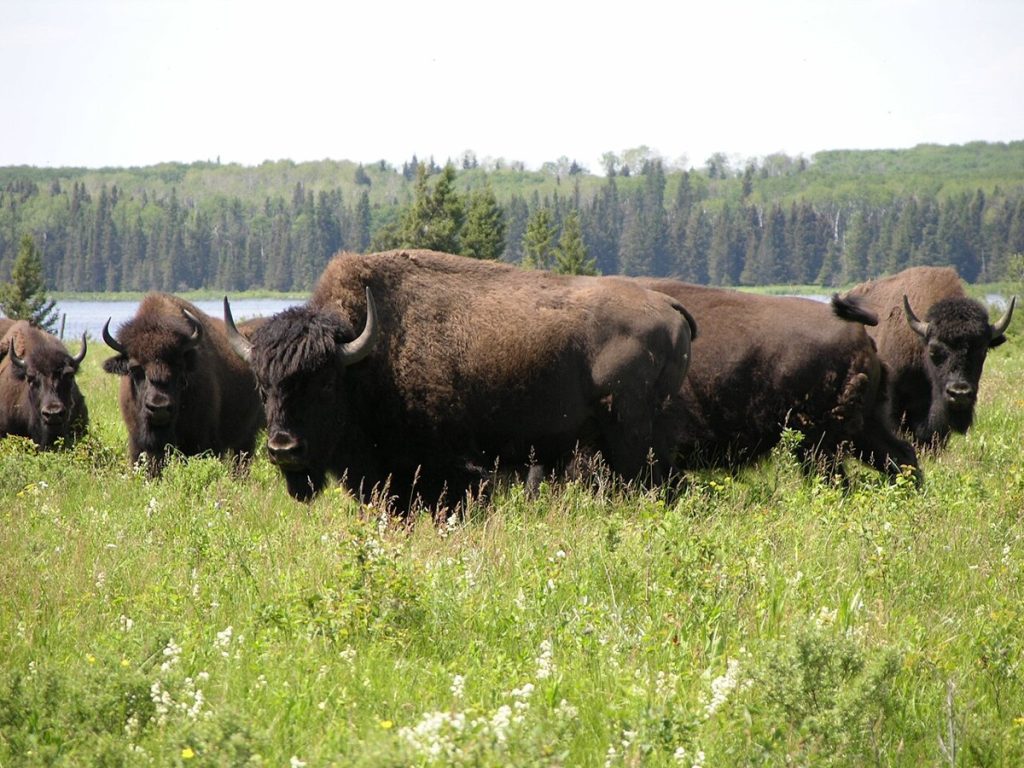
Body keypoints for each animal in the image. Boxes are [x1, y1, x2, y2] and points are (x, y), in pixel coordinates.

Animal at [225, 249, 696, 508]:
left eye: (324, 384)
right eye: (263, 387)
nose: (284, 449)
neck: (366, 356)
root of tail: (667, 304)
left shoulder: (452, 473)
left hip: (633, 440)